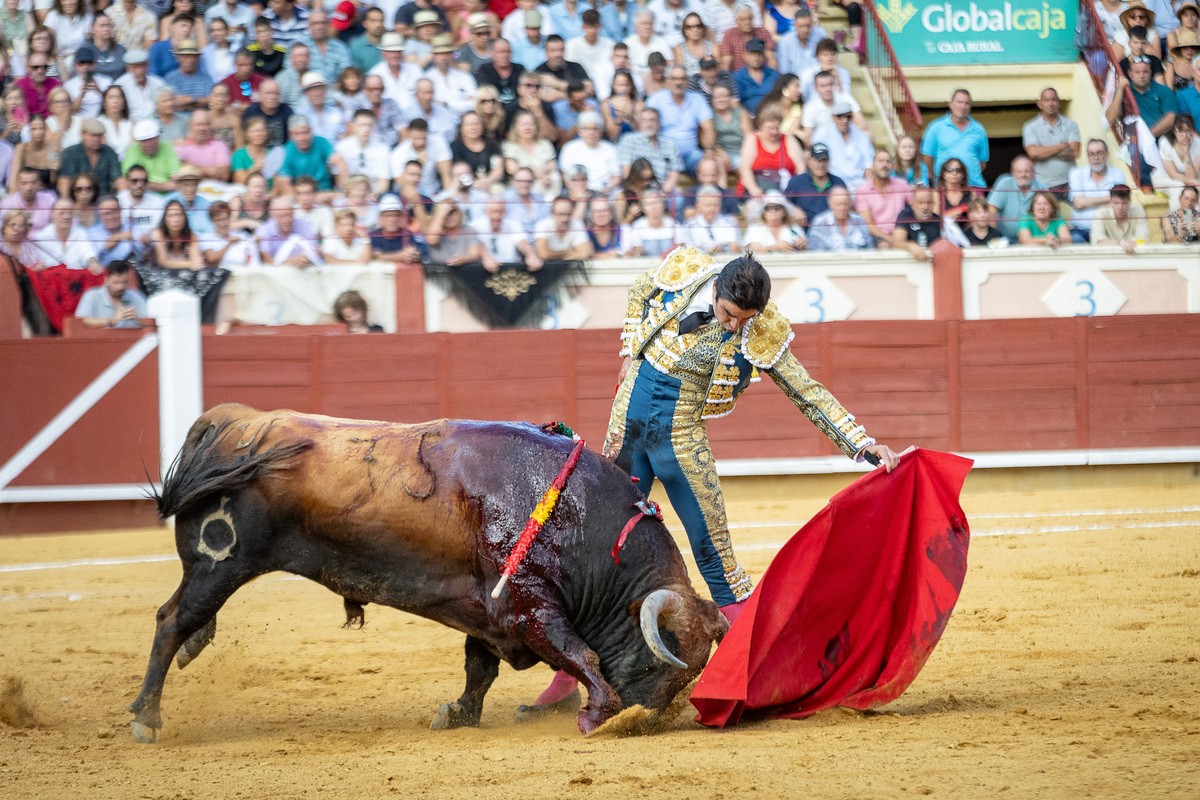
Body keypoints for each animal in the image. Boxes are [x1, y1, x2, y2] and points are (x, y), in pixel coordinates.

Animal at [131, 407, 729, 743]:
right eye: (666, 652)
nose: (644, 721)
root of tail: (228, 426)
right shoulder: (531, 607)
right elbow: (580, 654)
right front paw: (598, 715)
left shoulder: (486, 611)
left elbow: (479, 669)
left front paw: (457, 715)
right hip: (218, 564)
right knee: (171, 621)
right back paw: (146, 717)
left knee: (188, 622)